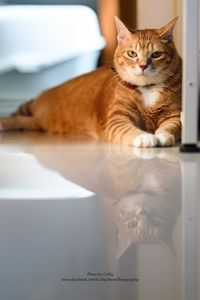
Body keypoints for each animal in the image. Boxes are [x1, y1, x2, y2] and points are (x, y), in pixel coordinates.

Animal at [0, 16, 181, 148]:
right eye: (132, 54)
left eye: (156, 54)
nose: (143, 66)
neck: (147, 90)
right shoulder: (117, 120)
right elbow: (129, 130)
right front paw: (145, 137)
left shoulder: (175, 115)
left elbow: (170, 127)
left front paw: (162, 136)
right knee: (18, 118)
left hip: (37, 121)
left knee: (25, 121)